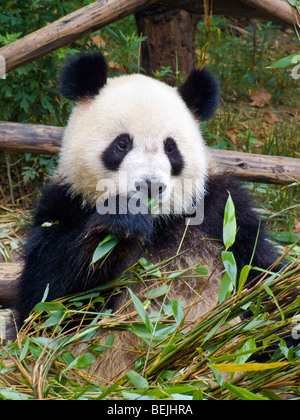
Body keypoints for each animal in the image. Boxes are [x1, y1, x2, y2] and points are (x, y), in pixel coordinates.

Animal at [2, 51, 284, 380]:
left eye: (171, 148)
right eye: (122, 144)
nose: (150, 186)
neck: (159, 222)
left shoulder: (221, 210)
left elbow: (261, 274)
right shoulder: (63, 204)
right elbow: (46, 301)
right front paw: (122, 221)